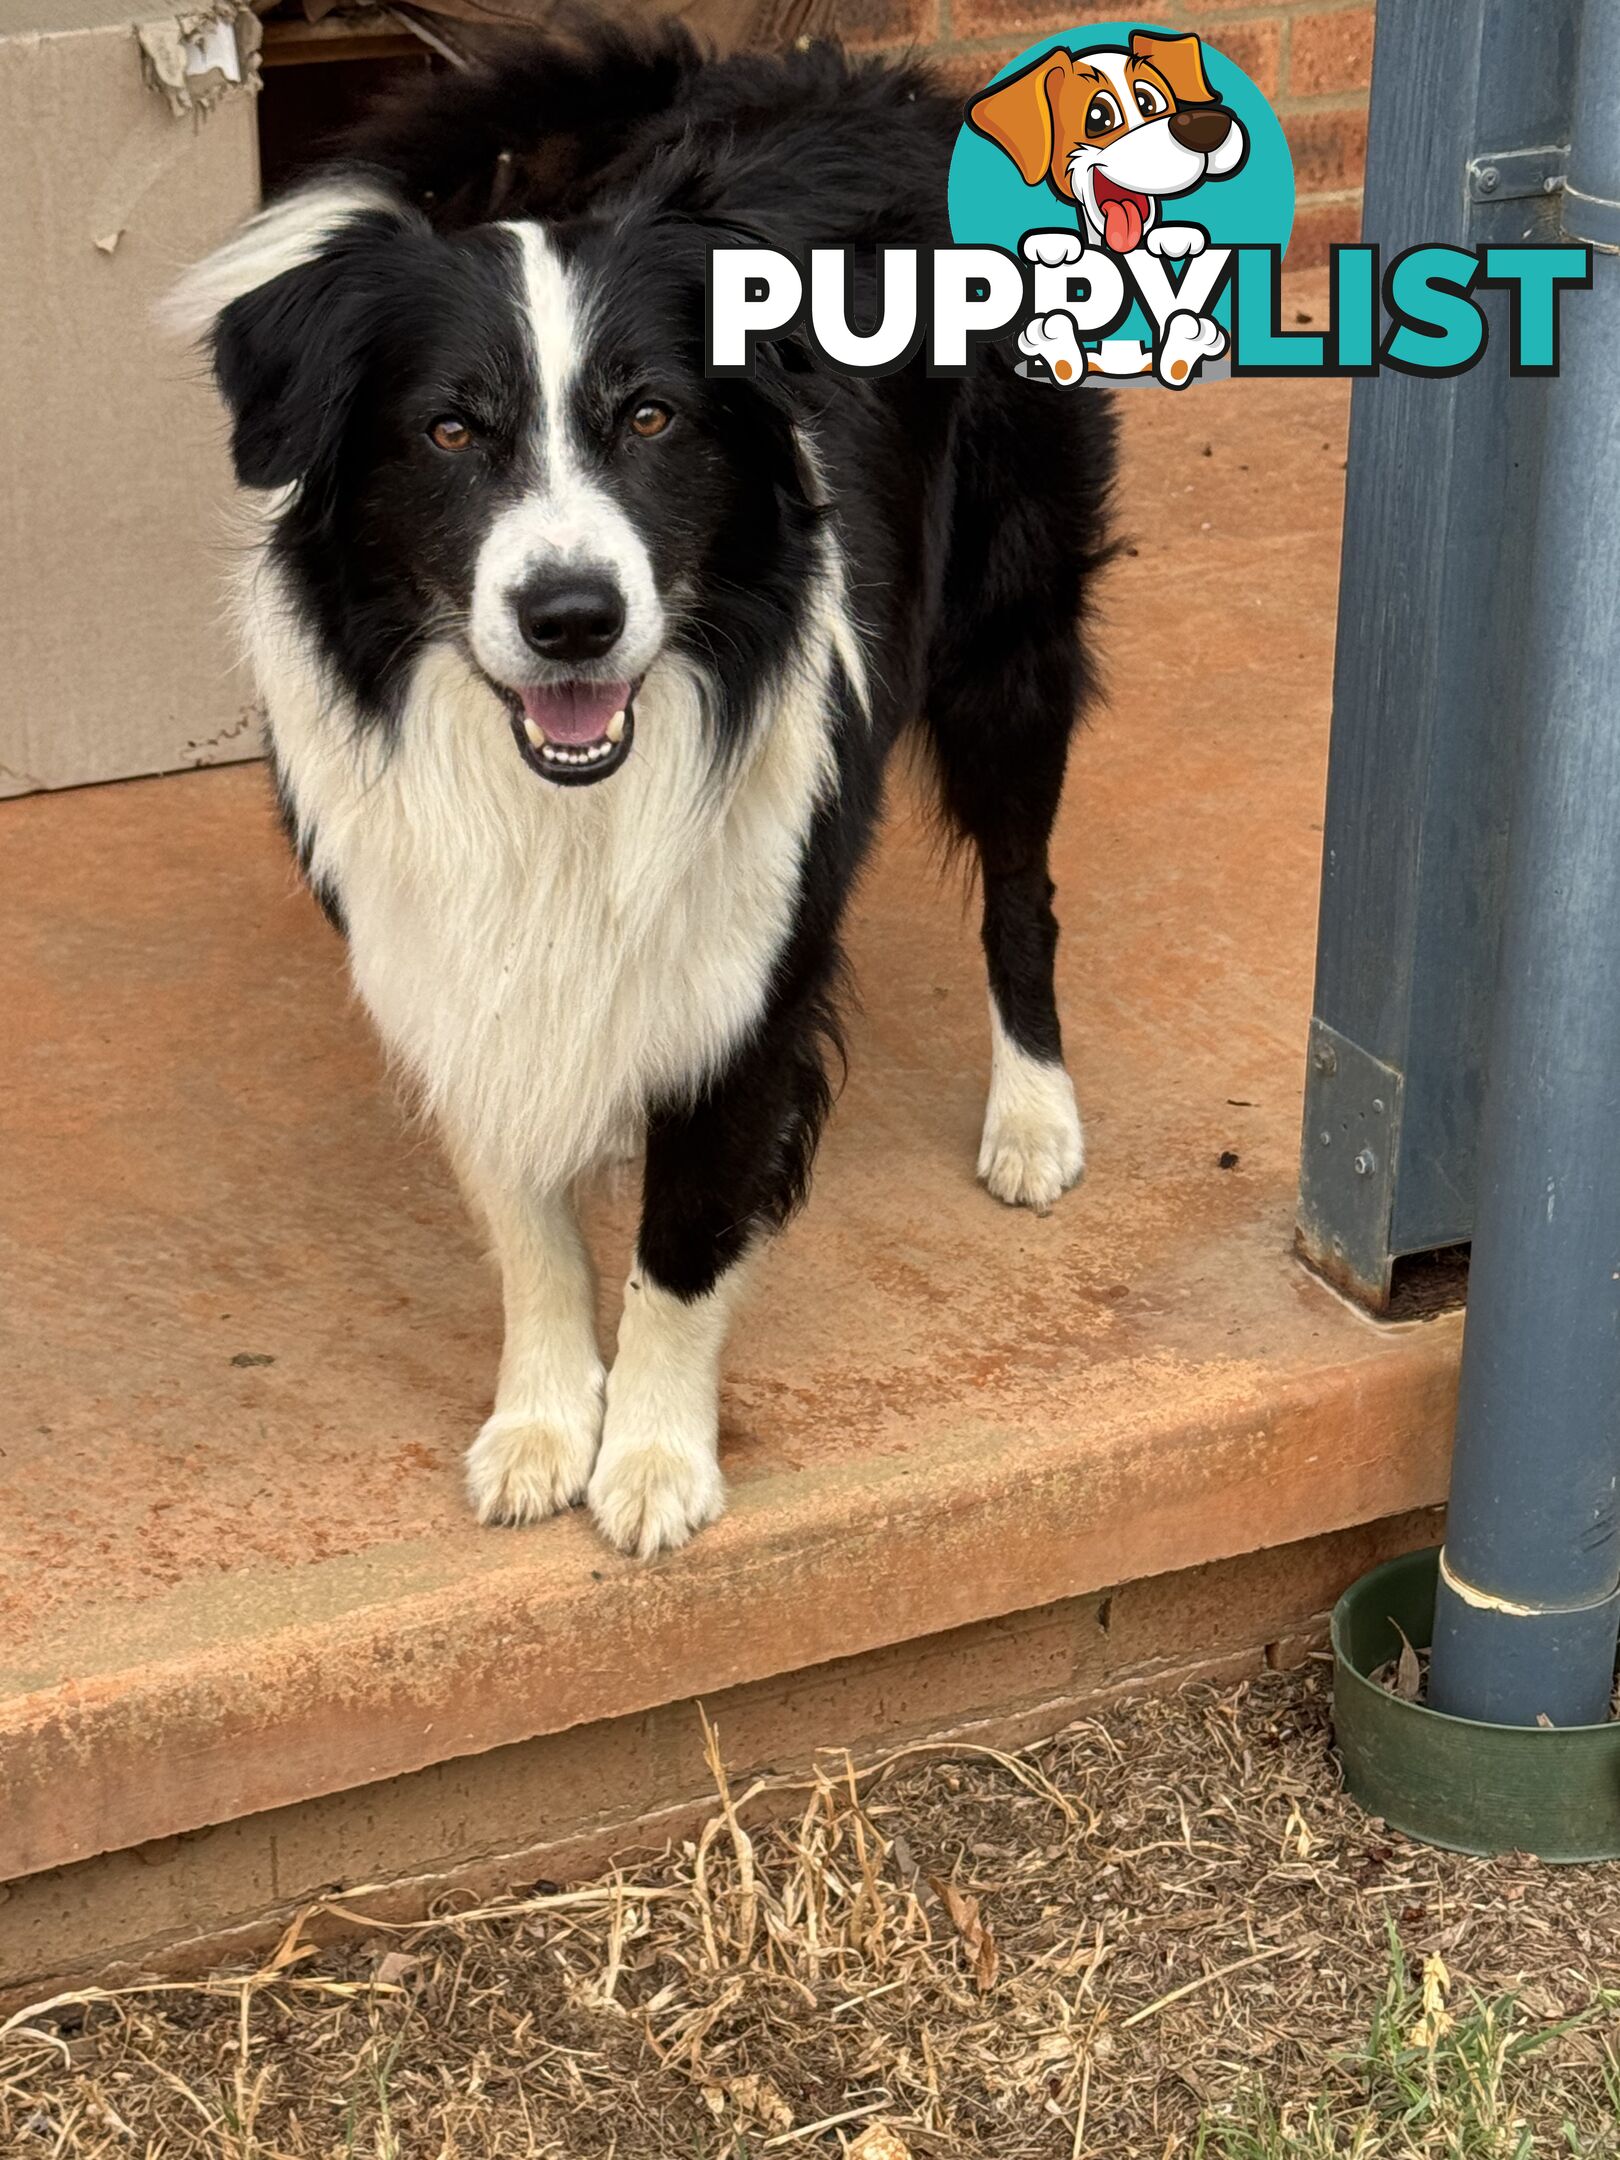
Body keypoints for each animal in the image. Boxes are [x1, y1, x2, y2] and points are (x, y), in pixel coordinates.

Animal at [174, 25, 1114, 1563]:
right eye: (450, 433)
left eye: (655, 416)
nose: (572, 619)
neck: (558, 802)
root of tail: (862, 75)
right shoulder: (452, 962)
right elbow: (531, 1232)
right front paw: (547, 1423)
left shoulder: (747, 976)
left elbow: (682, 1240)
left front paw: (658, 1461)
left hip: (1008, 641)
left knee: (1021, 891)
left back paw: (1034, 1116)